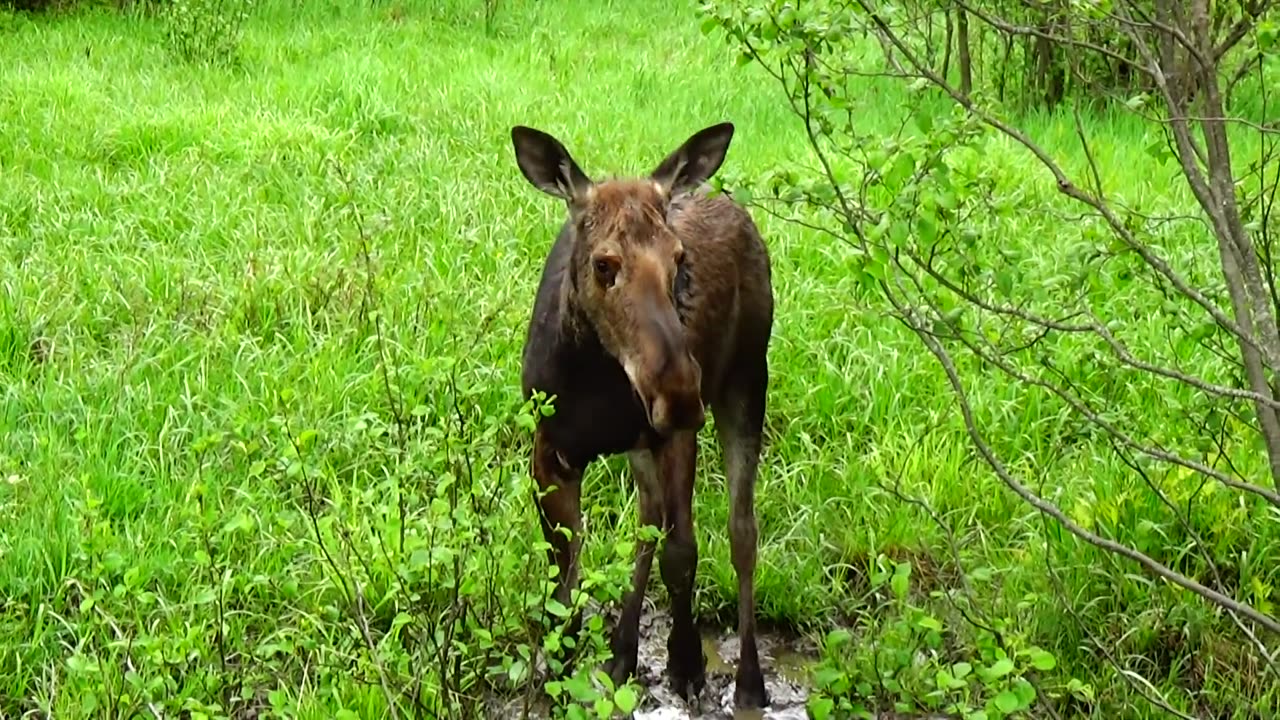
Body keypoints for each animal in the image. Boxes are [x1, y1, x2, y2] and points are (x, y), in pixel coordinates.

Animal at [506, 120, 768, 707]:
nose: (679, 391)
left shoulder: (674, 434)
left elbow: (682, 551)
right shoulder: (550, 448)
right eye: (604, 264)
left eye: (678, 259)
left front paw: (687, 662)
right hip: (647, 440)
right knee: (648, 515)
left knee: (741, 530)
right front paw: (560, 671)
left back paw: (749, 680)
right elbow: (564, 572)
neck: (595, 387)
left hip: (746, 382)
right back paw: (623, 651)